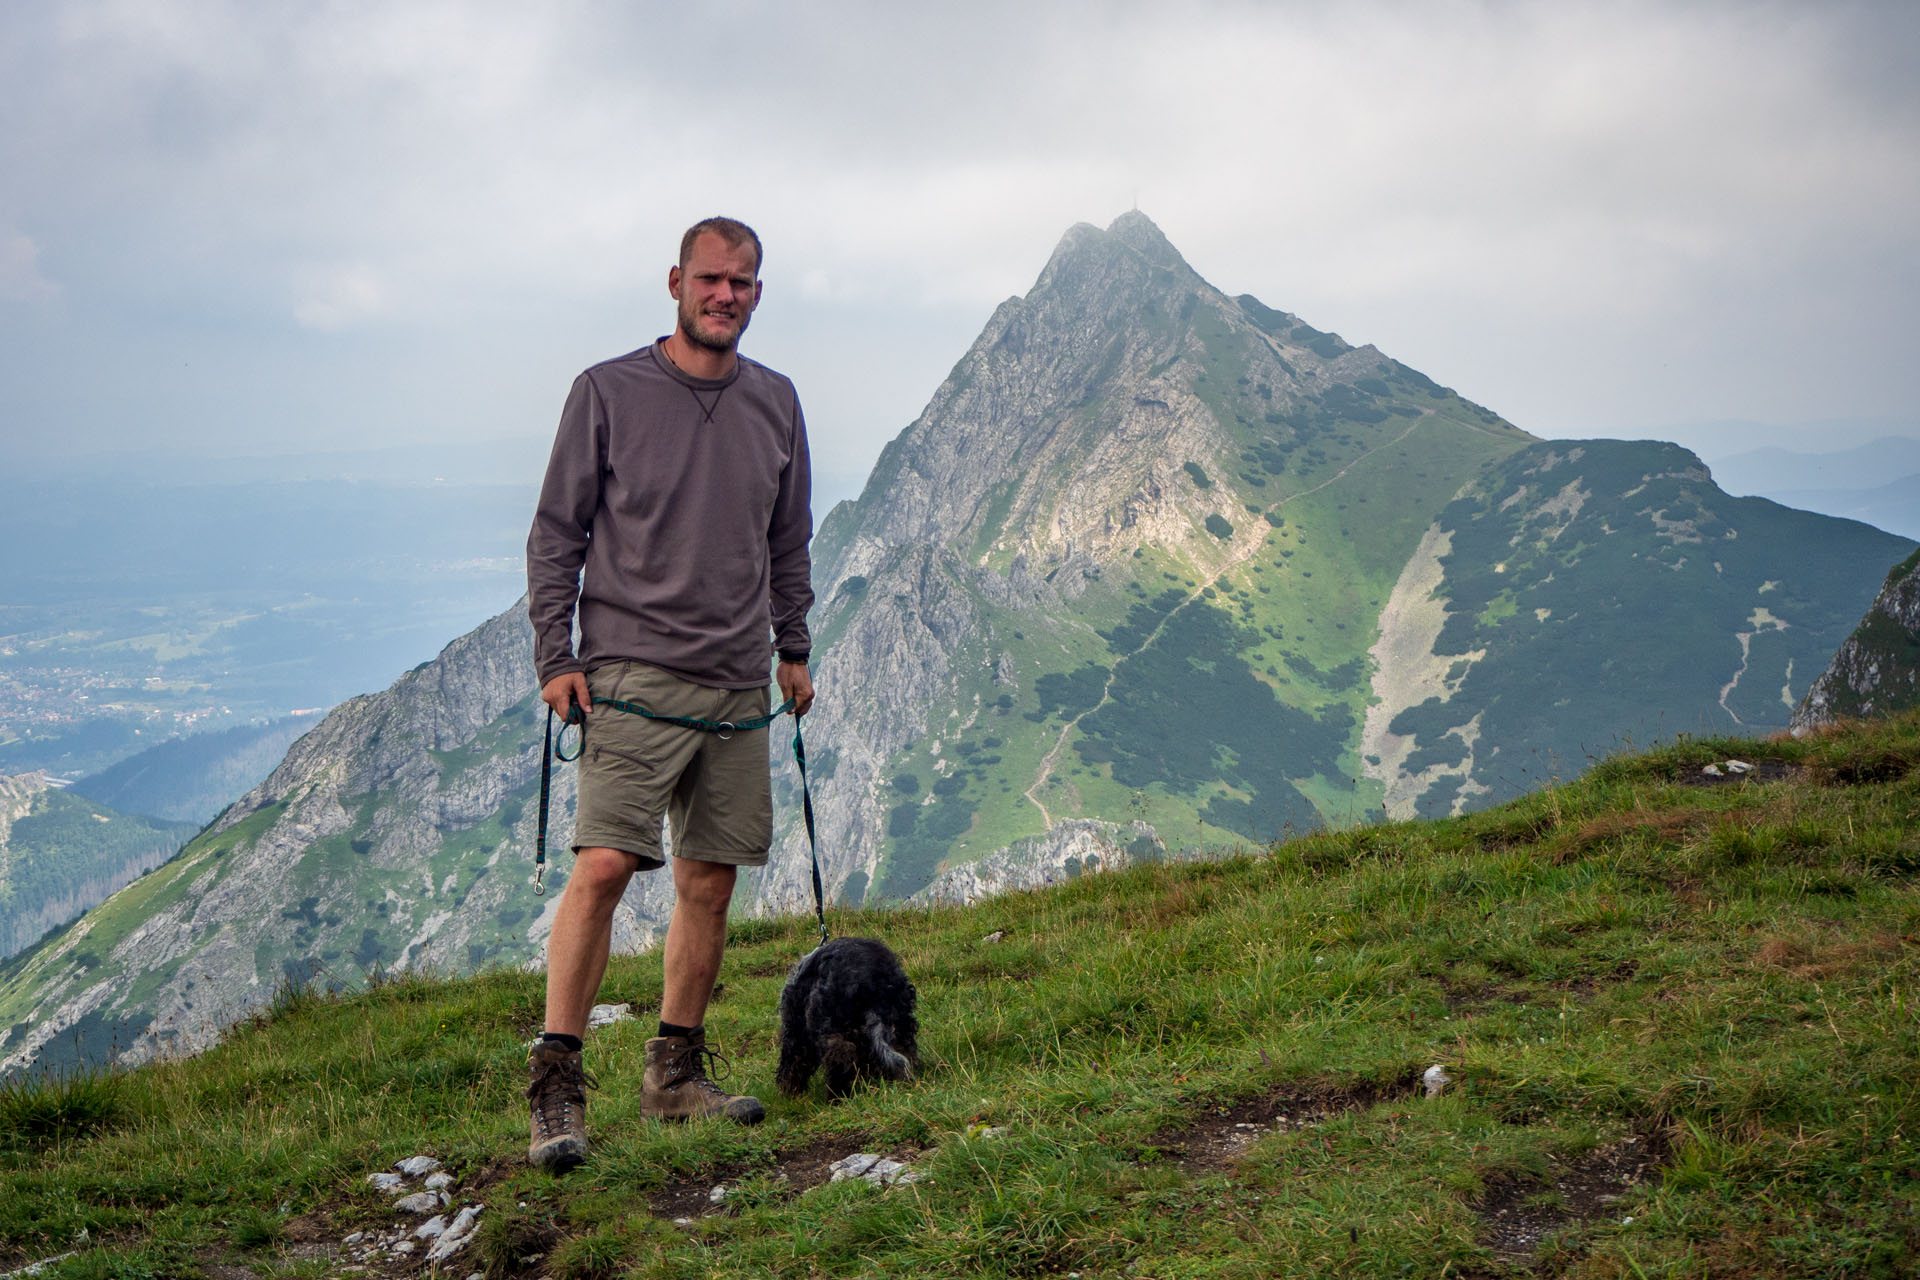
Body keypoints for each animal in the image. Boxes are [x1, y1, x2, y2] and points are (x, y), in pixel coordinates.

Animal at [783, 932, 925, 1105]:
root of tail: (874, 982)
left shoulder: (795, 1029)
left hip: (831, 1029)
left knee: (840, 1060)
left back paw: (836, 1098)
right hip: (900, 1023)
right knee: (904, 1051)